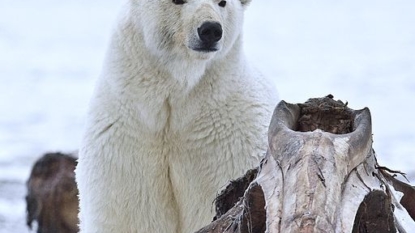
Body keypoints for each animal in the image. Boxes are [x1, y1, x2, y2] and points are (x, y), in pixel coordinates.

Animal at [76, 0, 278, 233]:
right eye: (177, 1)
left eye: (222, 2)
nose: (210, 30)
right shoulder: (125, 145)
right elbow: (131, 214)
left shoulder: (228, 144)